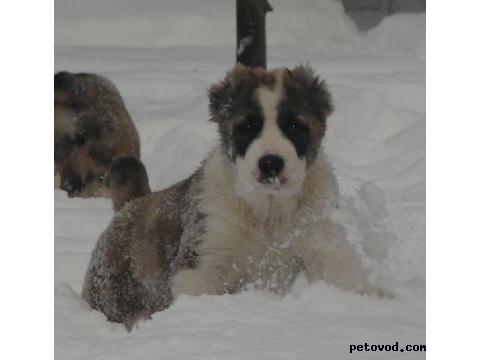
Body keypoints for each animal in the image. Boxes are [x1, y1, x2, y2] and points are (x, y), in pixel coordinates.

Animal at [80, 64, 384, 330]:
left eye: (294, 126)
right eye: (247, 126)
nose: (270, 163)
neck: (268, 212)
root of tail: (130, 204)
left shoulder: (320, 236)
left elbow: (341, 271)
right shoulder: (203, 260)